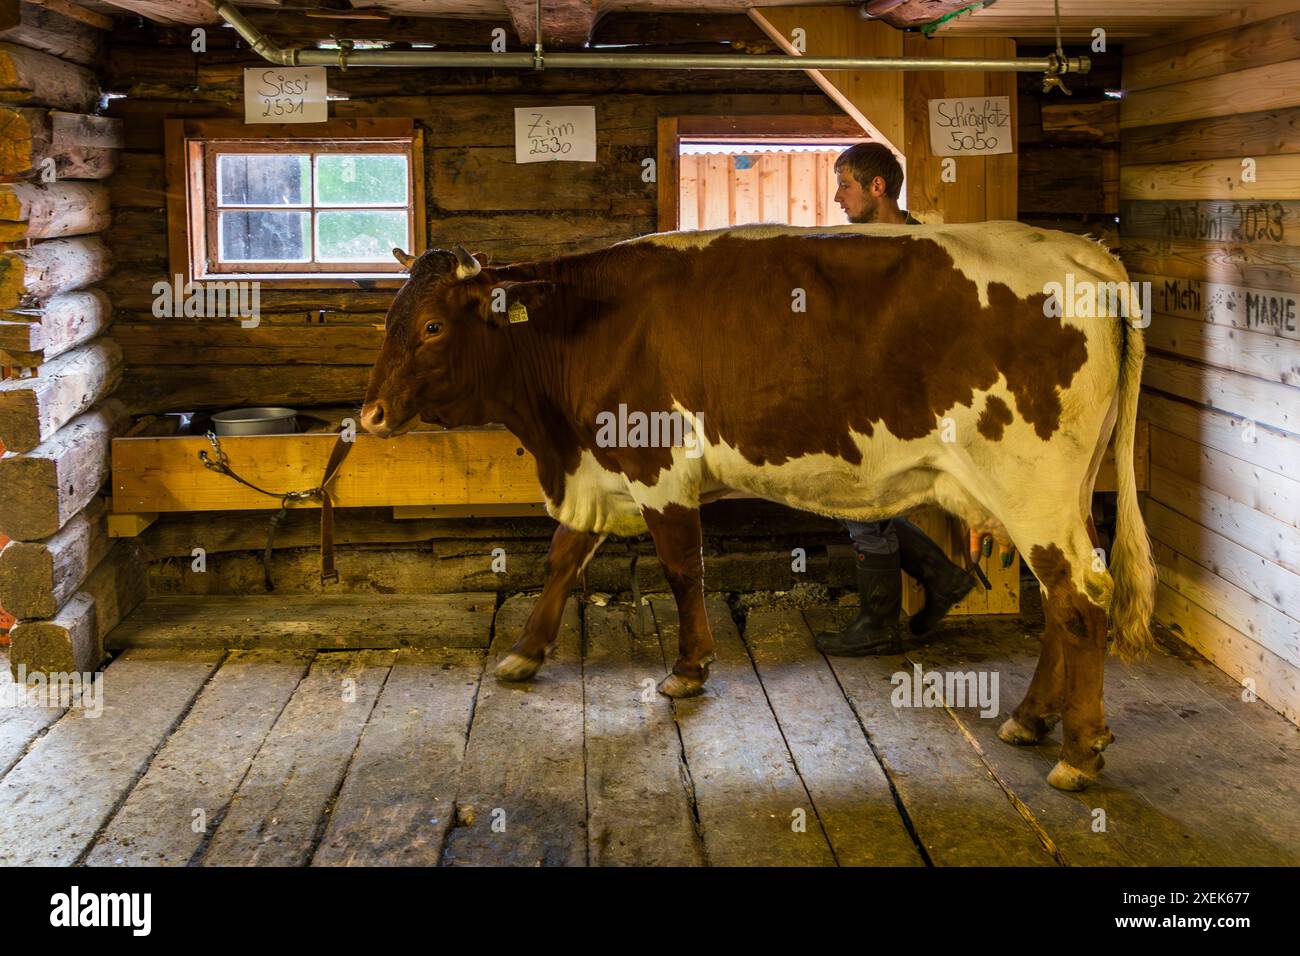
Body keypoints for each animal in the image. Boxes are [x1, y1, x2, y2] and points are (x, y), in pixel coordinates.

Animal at [358, 220, 1157, 792]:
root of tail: (1087, 253)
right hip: (1062, 493)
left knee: (1080, 605)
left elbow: (682, 569)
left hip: (1031, 486)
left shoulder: (657, 466)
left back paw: (1078, 752)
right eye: (388, 320)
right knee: (1065, 598)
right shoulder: (593, 471)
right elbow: (560, 561)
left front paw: (688, 667)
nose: (368, 417)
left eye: (432, 327)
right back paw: (1031, 719)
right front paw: (525, 653)